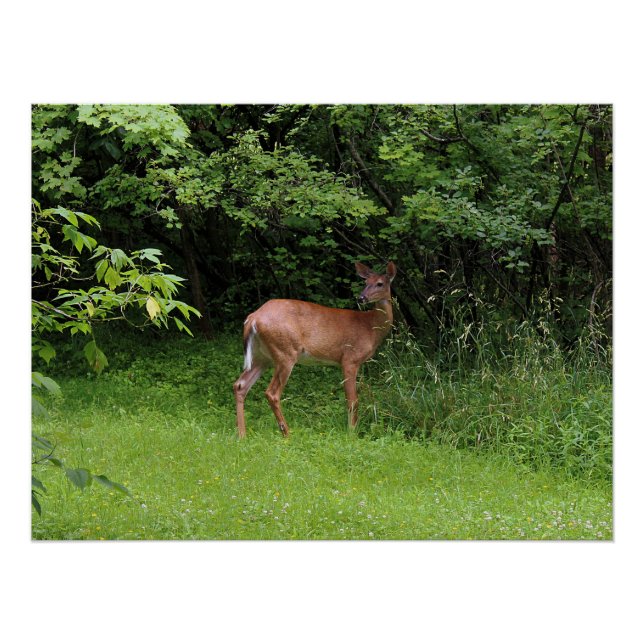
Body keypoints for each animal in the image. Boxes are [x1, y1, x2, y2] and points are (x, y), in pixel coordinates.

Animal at [233, 261, 397, 438]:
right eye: (366, 282)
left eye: (379, 283)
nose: (361, 297)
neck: (371, 327)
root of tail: (253, 319)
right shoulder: (350, 358)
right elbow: (353, 400)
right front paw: (352, 432)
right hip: (285, 352)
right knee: (272, 393)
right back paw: (287, 434)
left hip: (262, 356)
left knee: (240, 385)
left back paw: (242, 435)